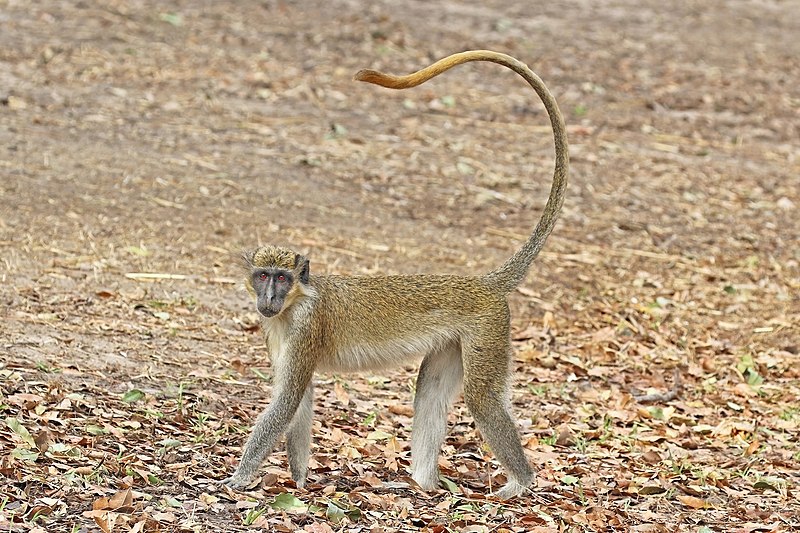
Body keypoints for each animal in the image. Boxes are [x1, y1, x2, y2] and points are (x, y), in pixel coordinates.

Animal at [222, 50, 564, 498]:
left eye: (281, 278)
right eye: (263, 276)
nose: (268, 299)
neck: (295, 303)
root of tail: (484, 283)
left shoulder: (305, 327)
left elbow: (286, 402)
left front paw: (239, 477)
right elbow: (298, 399)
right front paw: (298, 480)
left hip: (489, 331)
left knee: (483, 398)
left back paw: (519, 483)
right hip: (454, 342)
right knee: (431, 391)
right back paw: (422, 483)